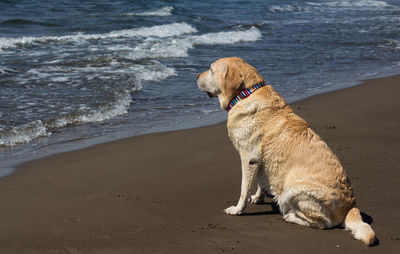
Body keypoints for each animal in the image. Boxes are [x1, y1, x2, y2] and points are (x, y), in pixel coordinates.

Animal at [195, 56, 376, 245]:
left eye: (211, 70)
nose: (196, 76)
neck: (246, 93)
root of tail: (351, 205)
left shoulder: (248, 157)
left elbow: (244, 188)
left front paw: (237, 209)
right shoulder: (260, 160)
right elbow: (260, 181)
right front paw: (258, 197)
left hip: (293, 191)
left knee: (323, 223)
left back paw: (291, 216)